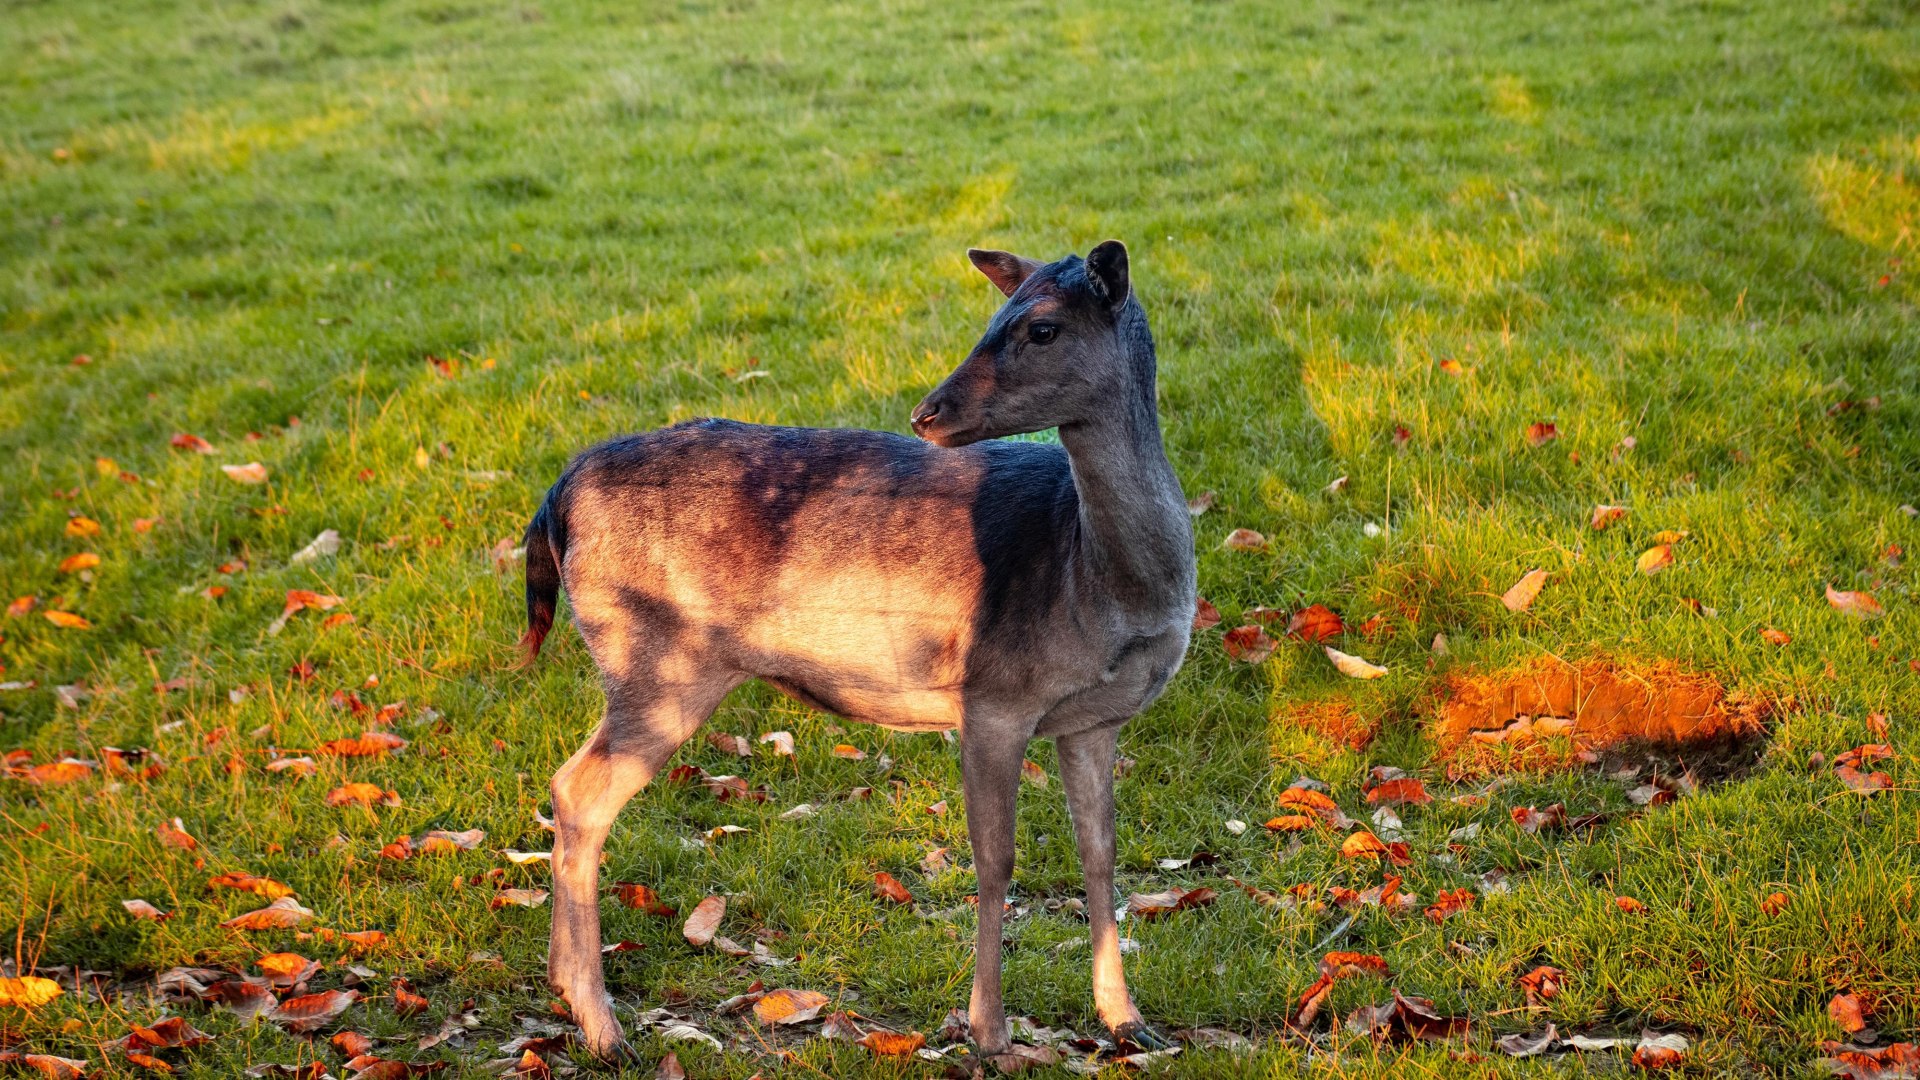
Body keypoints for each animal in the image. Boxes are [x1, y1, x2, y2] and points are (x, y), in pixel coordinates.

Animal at [520, 240, 1197, 1064]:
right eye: (994, 317)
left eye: (1041, 327)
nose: (928, 411)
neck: (1100, 580)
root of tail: (557, 495)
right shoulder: (993, 693)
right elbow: (995, 860)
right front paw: (990, 1035)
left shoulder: (1097, 719)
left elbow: (1101, 853)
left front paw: (1126, 1020)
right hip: (655, 655)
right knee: (581, 791)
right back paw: (602, 1027)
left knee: (568, 786)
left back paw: (563, 985)